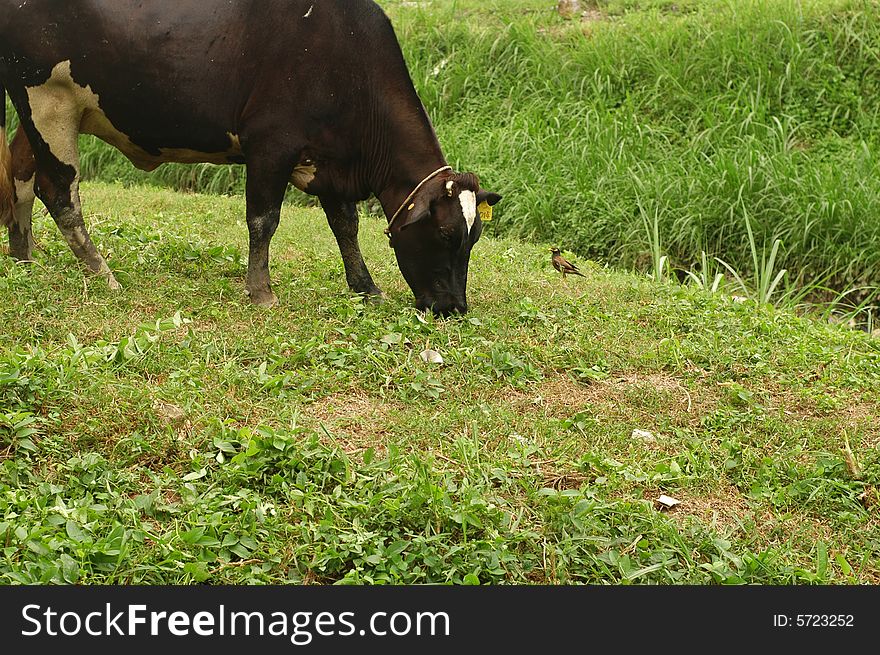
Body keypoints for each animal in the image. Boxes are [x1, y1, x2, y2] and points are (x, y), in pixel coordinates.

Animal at [0, 0, 502, 318]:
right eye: (446, 233)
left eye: (475, 236)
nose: (454, 308)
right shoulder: (270, 145)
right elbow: (264, 220)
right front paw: (261, 292)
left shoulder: (329, 161)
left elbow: (346, 226)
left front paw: (366, 288)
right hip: (47, 100)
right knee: (60, 192)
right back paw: (103, 274)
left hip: (44, 113)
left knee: (23, 176)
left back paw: (24, 257)